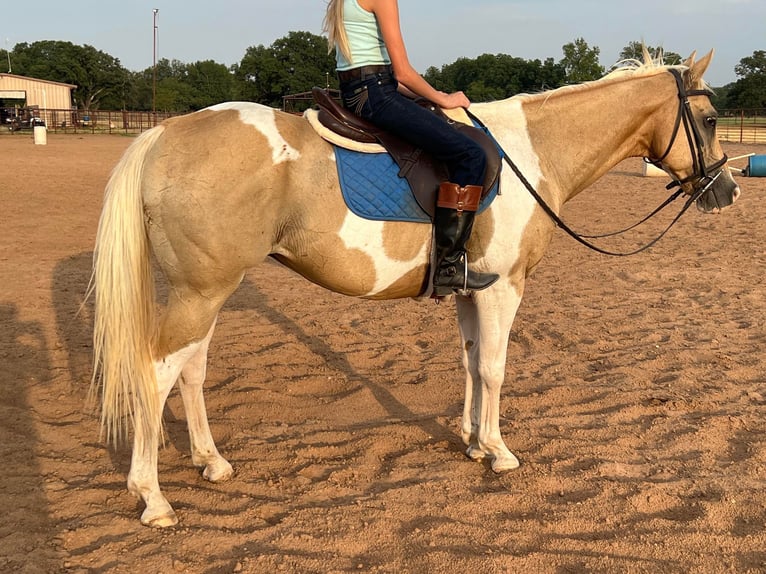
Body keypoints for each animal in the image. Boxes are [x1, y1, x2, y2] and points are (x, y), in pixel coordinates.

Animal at [91, 51, 744, 528]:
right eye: (711, 119)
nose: (728, 190)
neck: (533, 153)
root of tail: (166, 133)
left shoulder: (471, 289)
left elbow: (471, 361)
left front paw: (473, 442)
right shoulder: (504, 289)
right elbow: (495, 370)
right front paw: (499, 451)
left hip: (208, 290)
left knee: (190, 371)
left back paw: (211, 461)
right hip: (200, 291)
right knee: (156, 373)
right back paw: (152, 498)